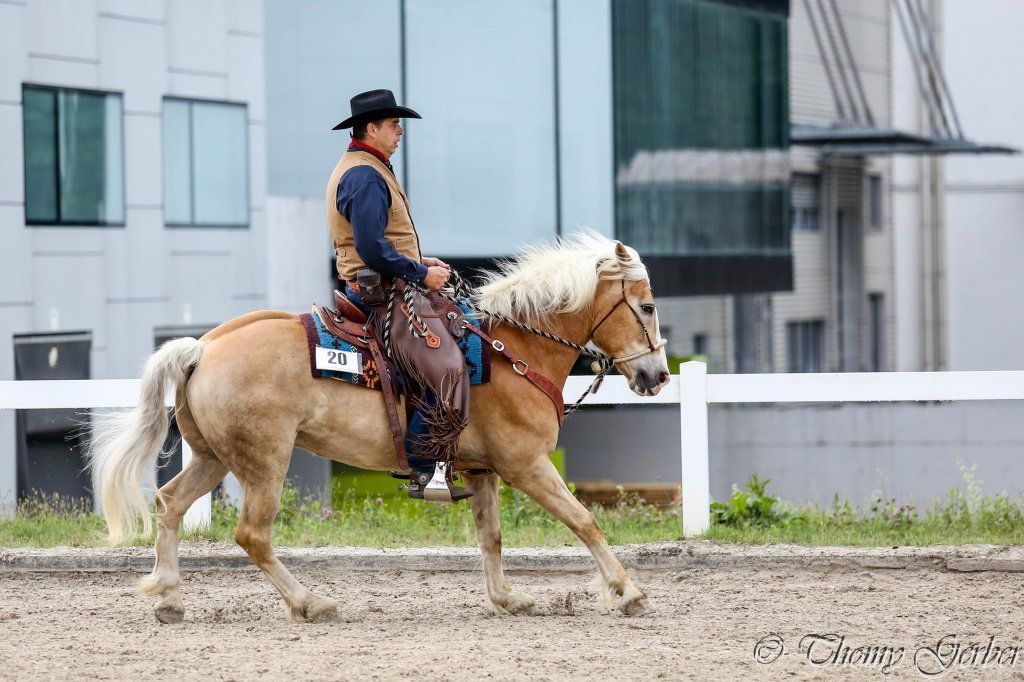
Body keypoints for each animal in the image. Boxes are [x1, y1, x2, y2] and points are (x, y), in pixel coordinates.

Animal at [87, 232, 671, 624]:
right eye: (646, 305)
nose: (658, 375)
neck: (513, 350)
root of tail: (203, 347)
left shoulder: (482, 470)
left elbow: (492, 536)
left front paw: (507, 598)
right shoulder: (526, 465)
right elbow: (585, 521)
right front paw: (628, 592)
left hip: (213, 457)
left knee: (170, 504)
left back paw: (169, 596)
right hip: (264, 462)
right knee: (252, 534)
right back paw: (311, 603)